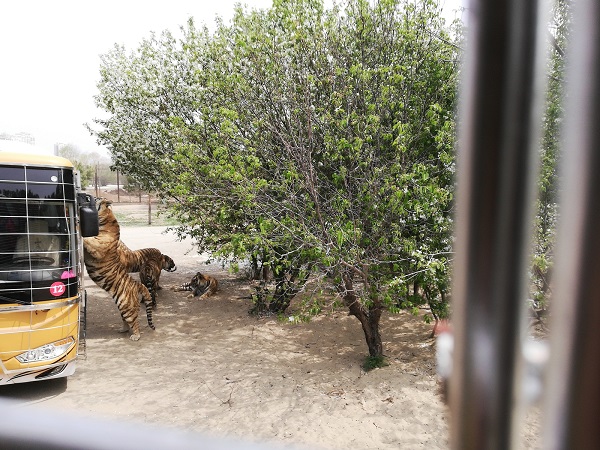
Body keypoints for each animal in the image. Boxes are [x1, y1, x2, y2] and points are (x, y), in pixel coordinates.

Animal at [84, 198, 155, 342]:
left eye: (97, 199)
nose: (91, 198)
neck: (106, 219)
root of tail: (139, 285)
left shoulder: (98, 246)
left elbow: (87, 239)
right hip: (123, 308)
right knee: (127, 322)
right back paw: (123, 330)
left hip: (127, 308)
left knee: (135, 322)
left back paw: (135, 336)